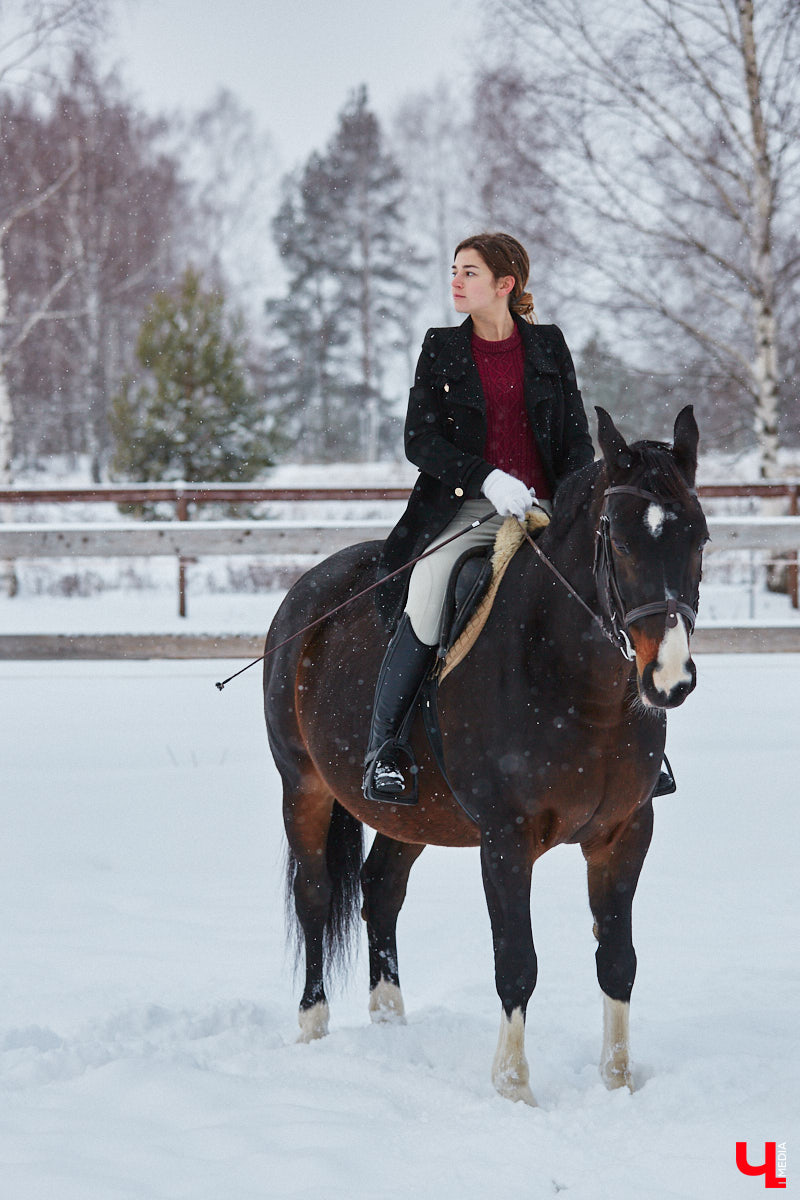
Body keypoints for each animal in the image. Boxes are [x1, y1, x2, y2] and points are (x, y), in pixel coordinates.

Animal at [262, 408, 705, 1099]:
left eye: (701, 540)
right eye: (622, 543)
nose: (670, 680)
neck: (580, 685)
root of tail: (307, 593)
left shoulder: (625, 832)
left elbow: (617, 959)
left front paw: (617, 1082)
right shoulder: (505, 838)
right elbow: (516, 961)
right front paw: (514, 1087)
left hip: (412, 814)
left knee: (380, 888)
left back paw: (390, 1022)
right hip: (302, 785)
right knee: (313, 893)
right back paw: (313, 1027)